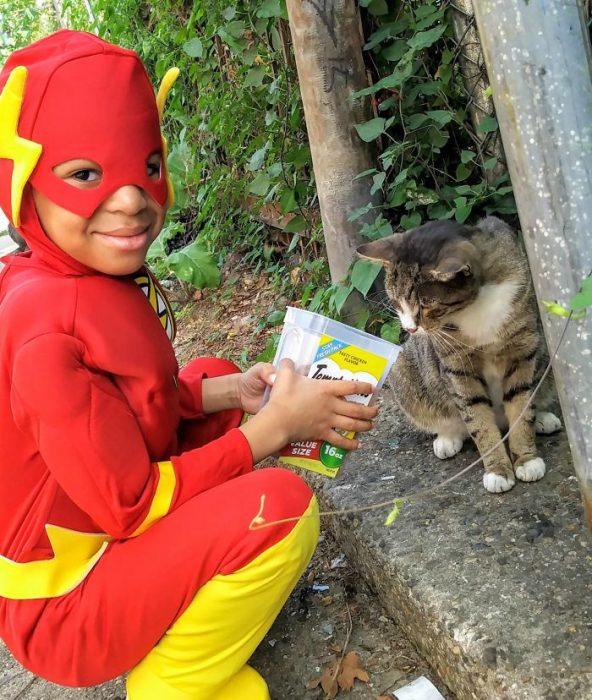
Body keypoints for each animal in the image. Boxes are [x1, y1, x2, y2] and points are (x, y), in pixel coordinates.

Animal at [358, 216, 560, 494]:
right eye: (396, 302)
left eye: (427, 304)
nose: (410, 329)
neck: (476, 306)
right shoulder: (457, 365)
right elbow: (476, 416)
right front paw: (498, 470)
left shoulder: (521, 351)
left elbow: (521, 404)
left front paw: (526, 459)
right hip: (403, 368)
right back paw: (447, 438)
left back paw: (542, 418)